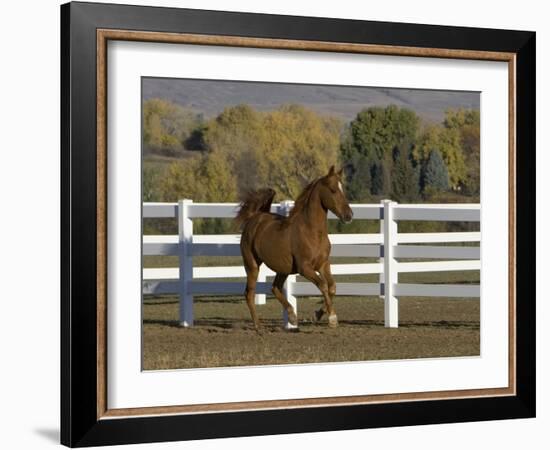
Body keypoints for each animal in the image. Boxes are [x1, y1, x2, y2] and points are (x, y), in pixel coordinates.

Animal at [236, 166, 356, 330]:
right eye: (333, 190)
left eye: (342, 188)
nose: (348, 215)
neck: (312, 232)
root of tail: (255, 217)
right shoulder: (304, 268)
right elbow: (323, 285)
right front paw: (332, 319)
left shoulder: (323, 264)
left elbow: (332, 287)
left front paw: (317, 315)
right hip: (252, 264)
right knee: (249, 293)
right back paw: (258, 326)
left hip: (283, 269)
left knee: (274, 288)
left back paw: (292, 317)